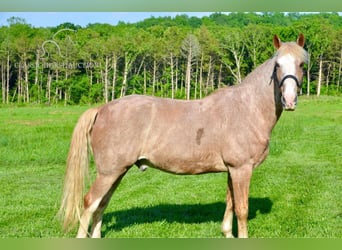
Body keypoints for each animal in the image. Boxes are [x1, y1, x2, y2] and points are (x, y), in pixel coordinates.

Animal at [58, 33, 308, 238]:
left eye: (302, 64)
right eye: (277, 65)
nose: (289, 100)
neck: (246, 108)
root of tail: (102, 109)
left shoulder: (232, 170)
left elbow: (230, 204)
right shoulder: (241, 169)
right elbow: (242, 209)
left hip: (116, 172)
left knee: (101, 205)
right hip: (109, 173)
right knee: (90, 203)